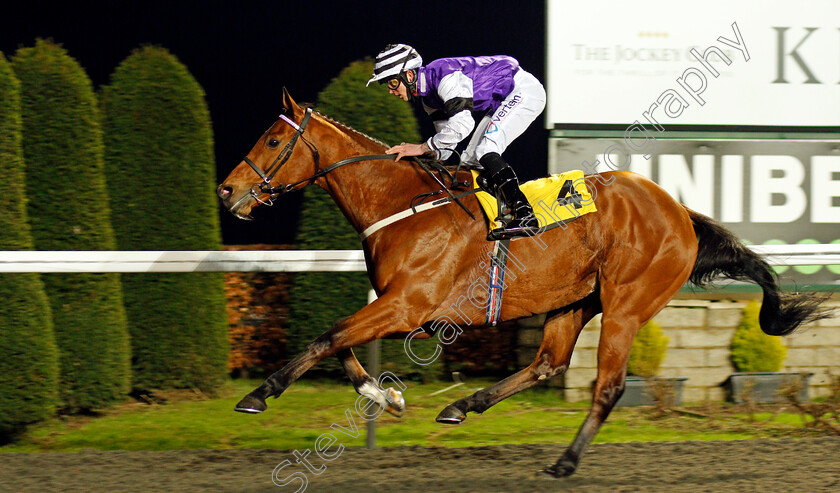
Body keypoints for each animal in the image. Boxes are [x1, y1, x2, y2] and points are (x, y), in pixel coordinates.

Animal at [215, 88, 828, 476]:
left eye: (273, 141)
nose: (227, 192)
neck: (404, 205)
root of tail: (680, 212)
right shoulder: (394, 303)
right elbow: (340, 342)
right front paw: (384, 396)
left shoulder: (409, 304)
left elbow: (329, 335)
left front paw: (259, 394)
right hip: (575, 300)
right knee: (547, 363)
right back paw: (463, 406)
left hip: (627, 305)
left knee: (607, 387)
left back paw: (564, 462)